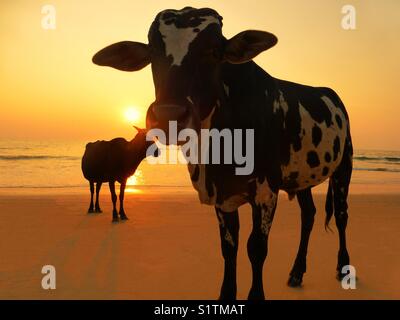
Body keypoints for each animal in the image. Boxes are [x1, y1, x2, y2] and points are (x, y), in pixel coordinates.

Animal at [93, 5, 354, 300]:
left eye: (213, 51)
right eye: (152, 52)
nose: (168, 115)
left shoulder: (265, 192)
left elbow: (256, 248)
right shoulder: (222, 195)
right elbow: (229, 248)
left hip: (344, 167)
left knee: (342, 215)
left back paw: (343, 267)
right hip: (301, 179)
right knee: (308, 215)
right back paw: (297, 271)